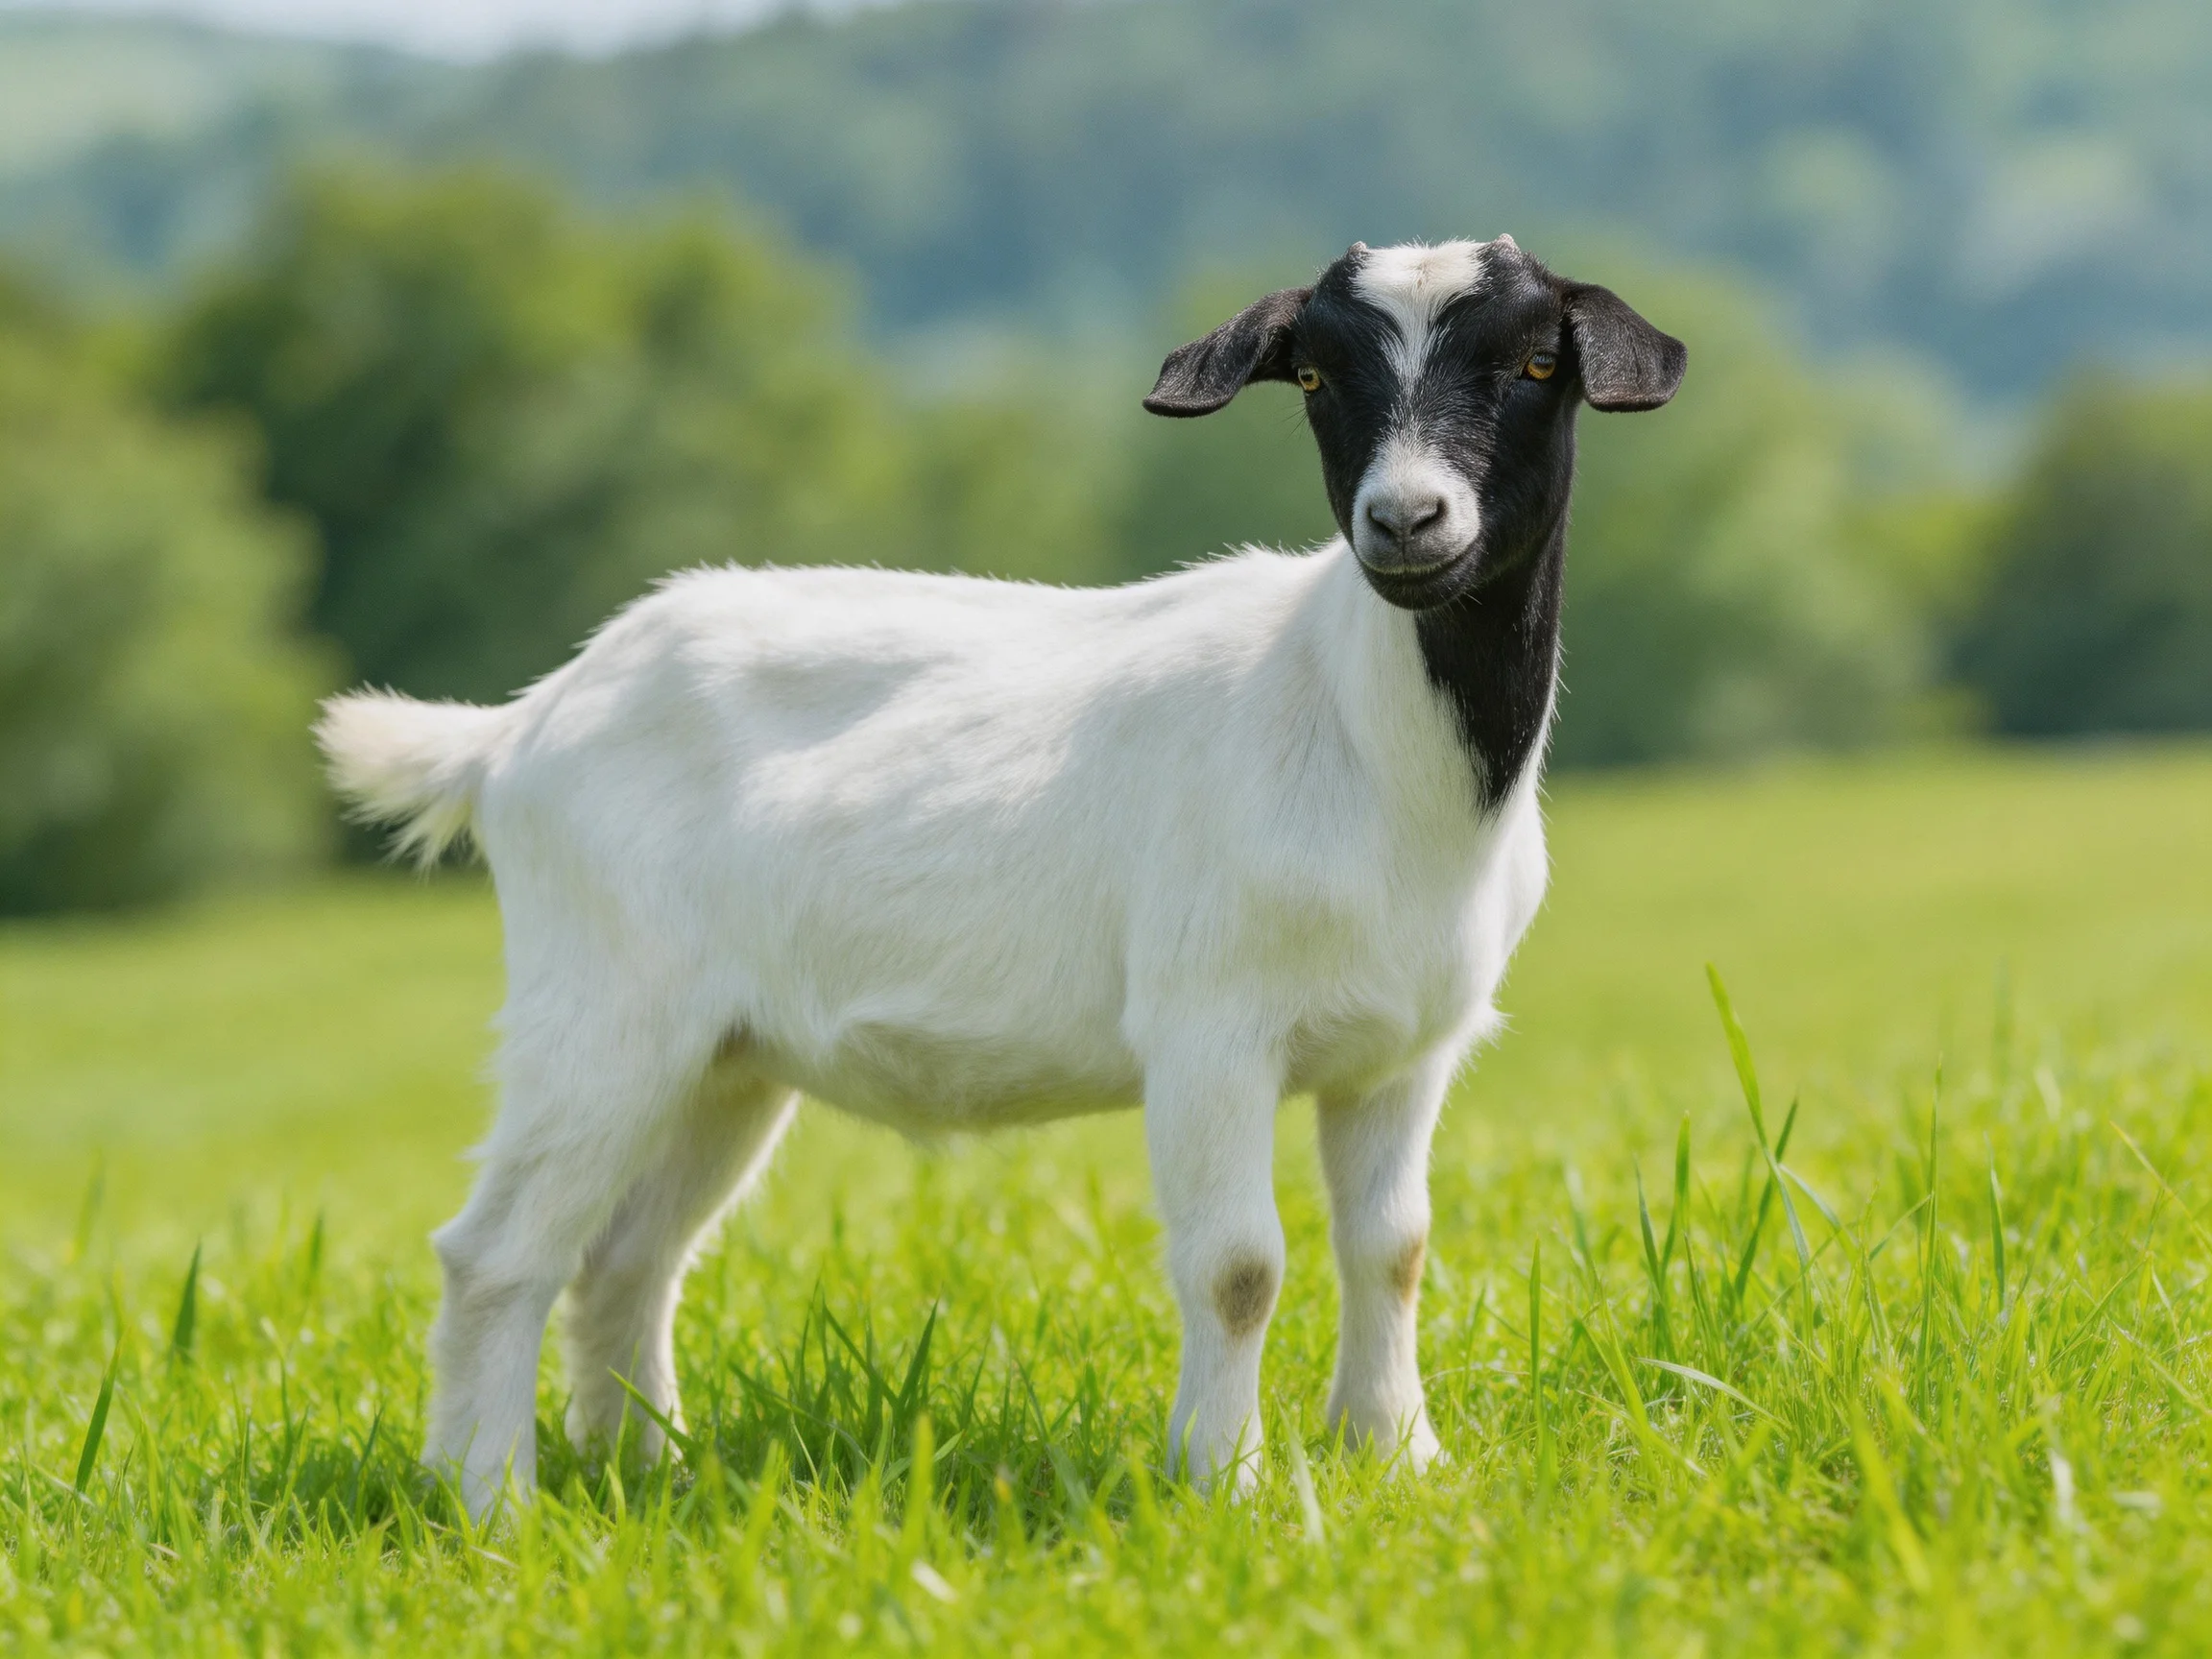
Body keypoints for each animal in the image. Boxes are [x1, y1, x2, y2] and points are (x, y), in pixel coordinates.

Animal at [318, 236, 1686, 1515]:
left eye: (1534, 363)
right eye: (1313, 375)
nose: (1405, 521)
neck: (1359, 731)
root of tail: (517, 731)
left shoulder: (1404, 1049)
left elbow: (1392, 1247)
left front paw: (1397, 1458)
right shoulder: (1208, 1026)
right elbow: (1239, 1267)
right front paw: (1225, 1482)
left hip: (723, 1057)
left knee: (626, 1258)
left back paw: (642, 1472)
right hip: (602, 1009)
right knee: (495, 1252)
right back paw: (491, 1499)